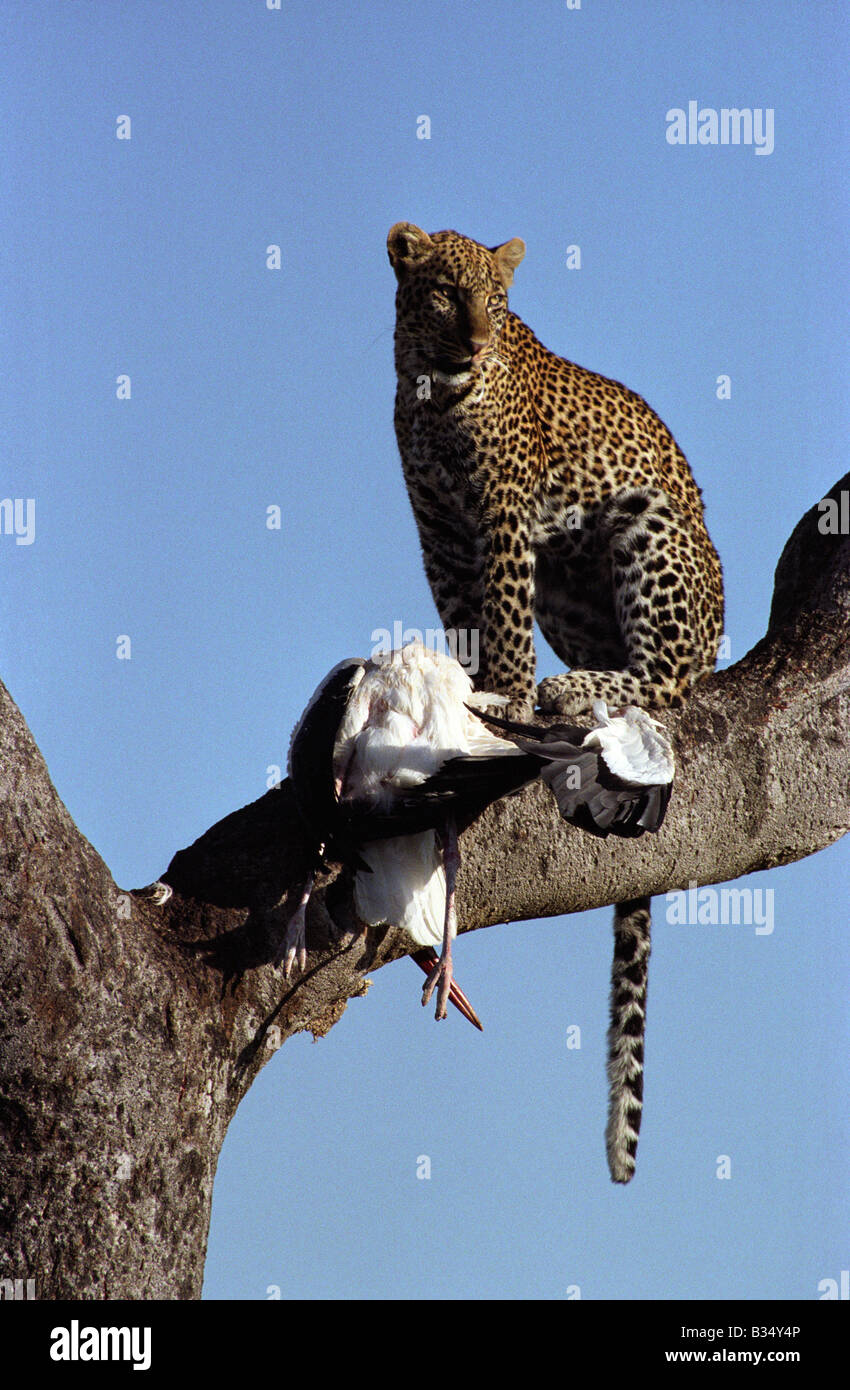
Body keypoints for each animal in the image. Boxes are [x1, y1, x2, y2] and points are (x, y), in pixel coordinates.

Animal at [386, 219, 722, 1184]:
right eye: (442, 294)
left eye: (495, 302)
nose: (473, 342)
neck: (432, 394)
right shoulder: (438, 527)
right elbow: (461, 617)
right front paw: (469, 685)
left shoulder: (501, 514)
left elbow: (498, 615)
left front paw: (501, 688)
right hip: (573, 584)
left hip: (646, 528)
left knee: (672, 679)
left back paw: (565, 687)